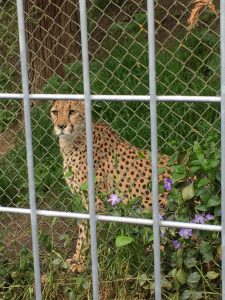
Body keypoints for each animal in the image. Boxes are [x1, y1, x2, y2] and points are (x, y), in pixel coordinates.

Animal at [50, 100, 171, 272]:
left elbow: (87, 233)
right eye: (55, 112)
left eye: (72, 112)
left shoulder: (96, 203)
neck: (73, 139)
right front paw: (76, 258)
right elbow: (82, 231)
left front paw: (81, 262)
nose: (60, 126)